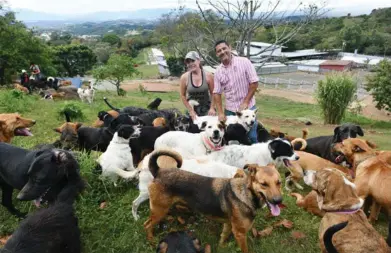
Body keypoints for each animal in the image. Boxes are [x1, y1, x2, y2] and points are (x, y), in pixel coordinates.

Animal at [145, 149, 284, 252]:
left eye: (279, 182)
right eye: (263, 184)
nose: (278, 201)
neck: (246, 192)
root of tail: (158, 171)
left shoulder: (228, 225)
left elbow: (223, 237)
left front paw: (221, 247)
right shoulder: (240, 233)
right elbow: (245, 250)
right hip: (160, 210)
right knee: (147, 225)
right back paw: (151, 241)